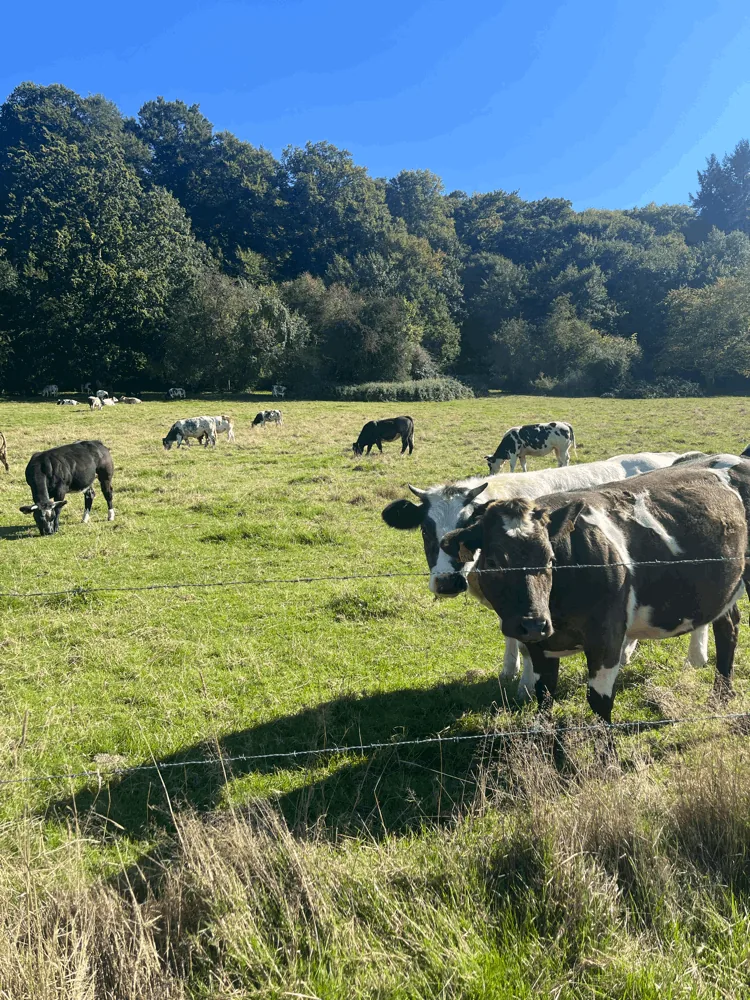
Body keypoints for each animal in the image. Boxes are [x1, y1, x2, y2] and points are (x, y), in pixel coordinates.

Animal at [381, 452, 704, 696]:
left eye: (464, 526)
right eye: (425, 529)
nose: (448, 581)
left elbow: (529, 645)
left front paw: (526, 686)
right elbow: (510, 634)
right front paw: (508, 670)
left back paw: (696, 659)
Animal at [440, 459, 750, 724]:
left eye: (550, 559)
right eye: (493, 562)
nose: (533, 624)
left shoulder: (606, 638)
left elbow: (600, 703)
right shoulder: (540, 647)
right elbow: (545, 698)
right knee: (728, 627)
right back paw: (720, 697)